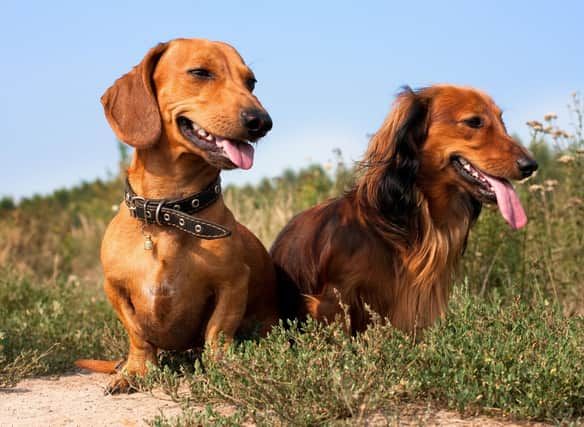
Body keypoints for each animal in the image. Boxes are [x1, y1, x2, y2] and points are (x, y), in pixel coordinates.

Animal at [76, 38, 278, 392]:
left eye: (251, 82)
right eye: (200, 72)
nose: (261, 122)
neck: (168, 213)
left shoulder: (233, 282)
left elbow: (218, 332)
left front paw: (223, 369)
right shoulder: (114, 288)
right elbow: (138, 335)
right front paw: (136, 371)